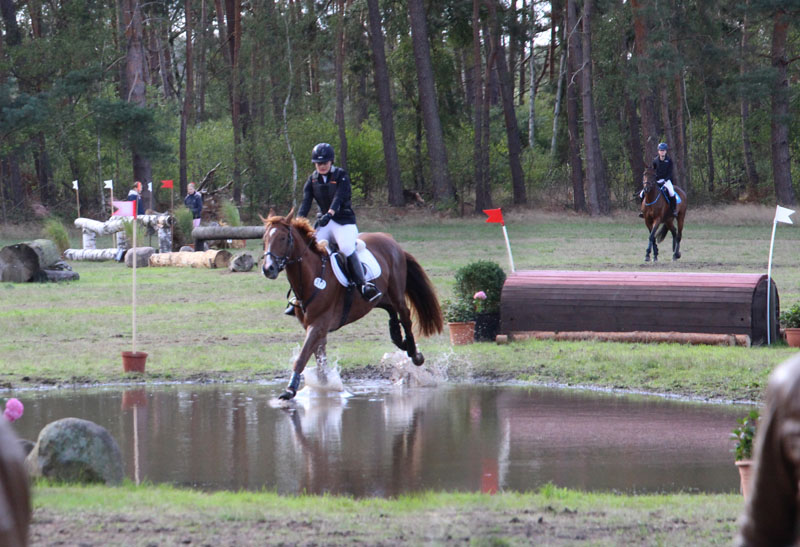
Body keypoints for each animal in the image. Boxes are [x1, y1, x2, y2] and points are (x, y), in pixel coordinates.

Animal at [261, 210, 443, 400]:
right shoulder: (315, 328)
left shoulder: (318, 325)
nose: (268, 269)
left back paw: (415, 354)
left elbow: (303, 357)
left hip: (396, 292)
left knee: (405, 315)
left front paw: (290, 390)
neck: (312, 277)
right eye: (264, 240)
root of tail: (390, 240)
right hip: (378, 298)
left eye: (283, 238)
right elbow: (319, 358)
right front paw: (324, 386)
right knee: (391, 310)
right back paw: (398, 339)